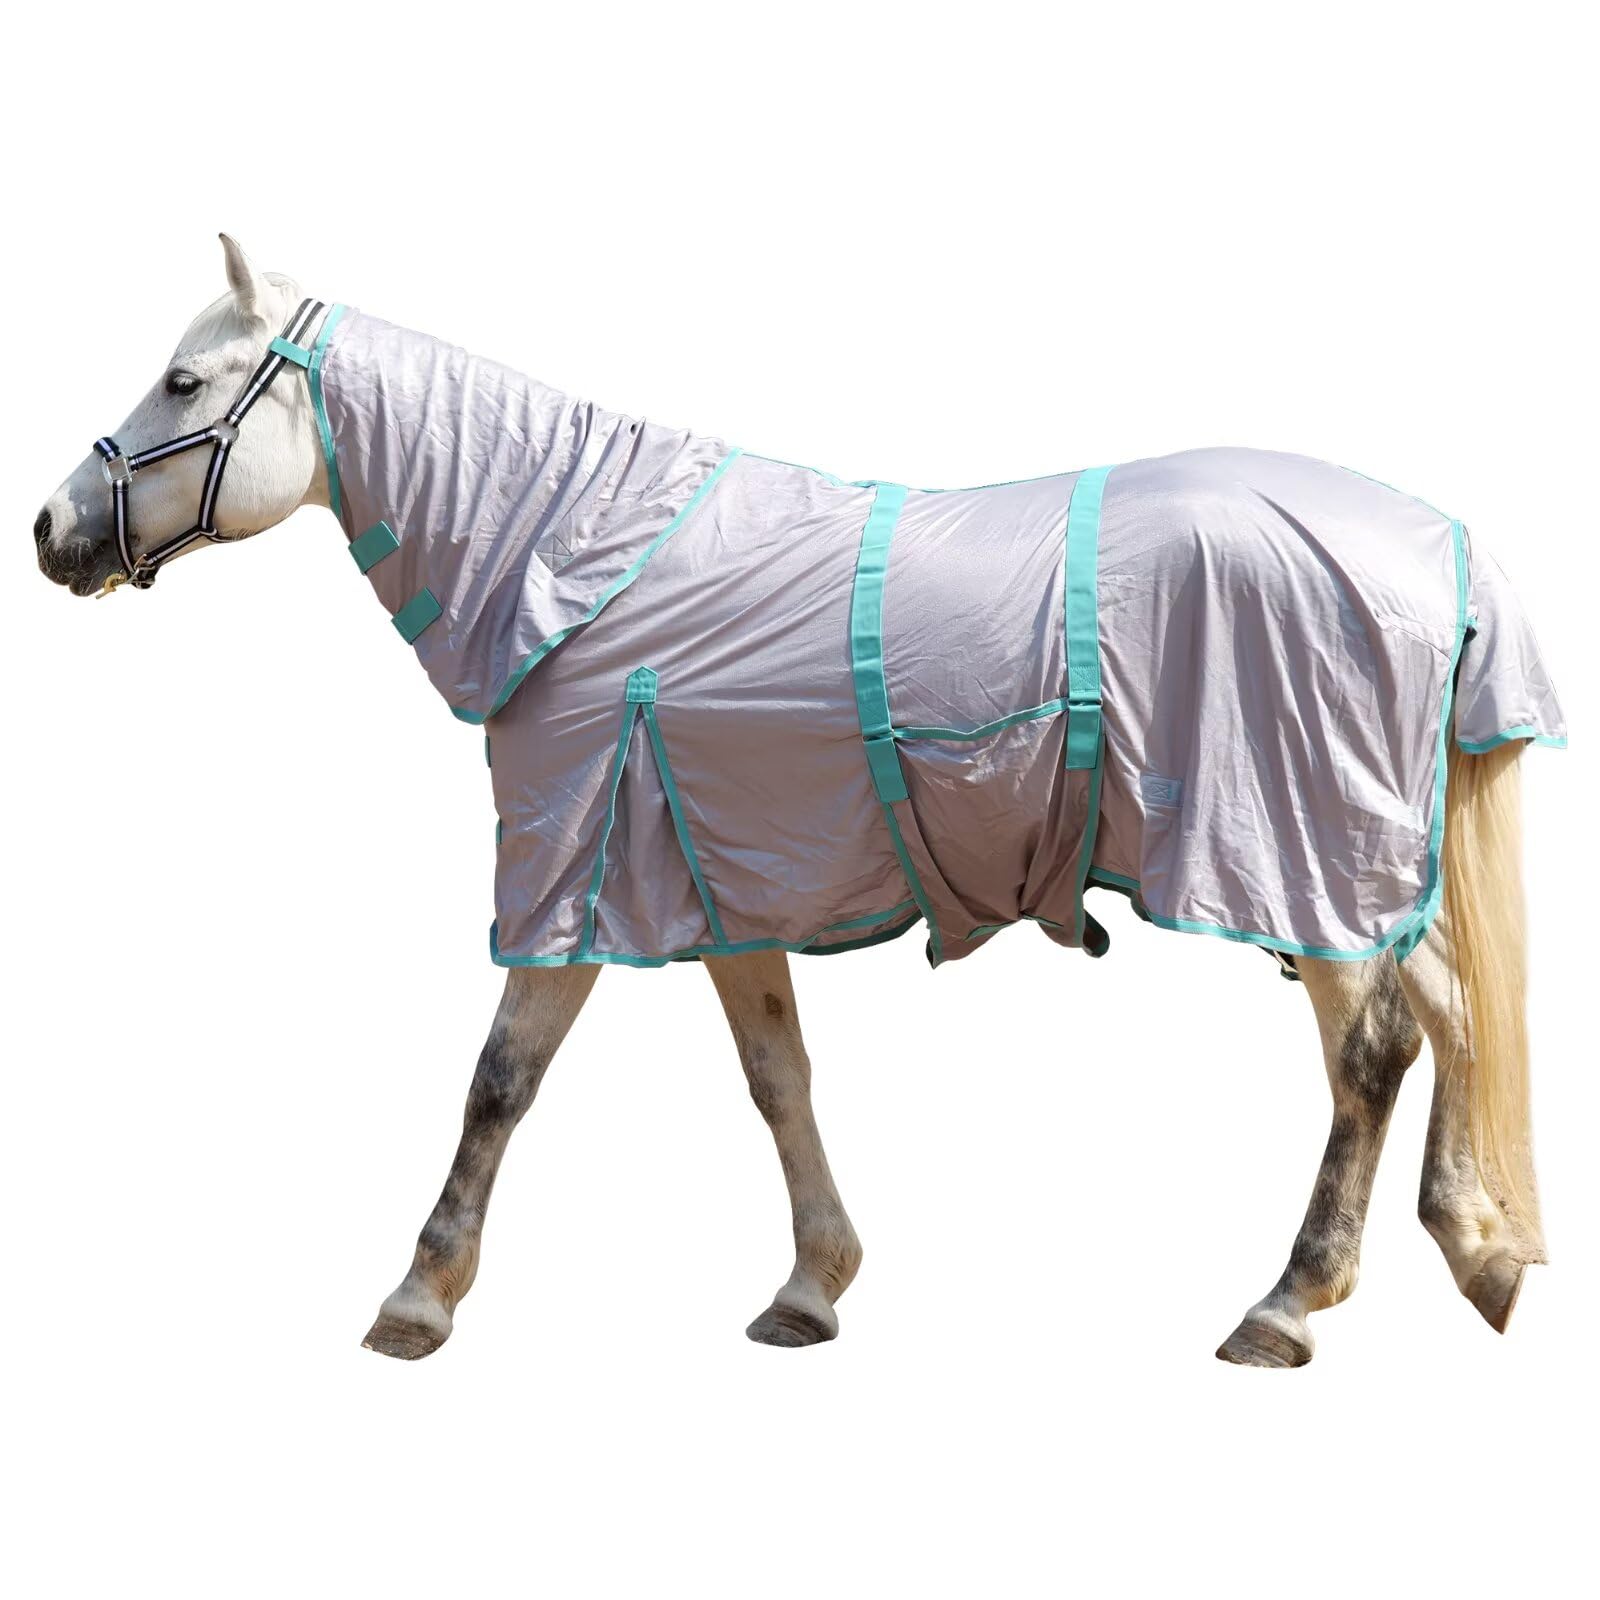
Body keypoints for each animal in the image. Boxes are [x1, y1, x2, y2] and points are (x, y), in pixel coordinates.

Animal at [33, 235, 1564, 1366]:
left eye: (183, 382)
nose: (51, 529)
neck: (585, 569)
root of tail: (1442, 547)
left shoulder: (577, 881)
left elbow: (499, 1079)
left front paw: (419, 1296)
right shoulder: (723, 883)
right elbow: (778, 1079)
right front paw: (811, 1287)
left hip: (1296, 861)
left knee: (1373, 1050)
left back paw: (1288, 1303)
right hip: (1354, 870)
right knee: (1450, 1013)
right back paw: (1475, 1248)